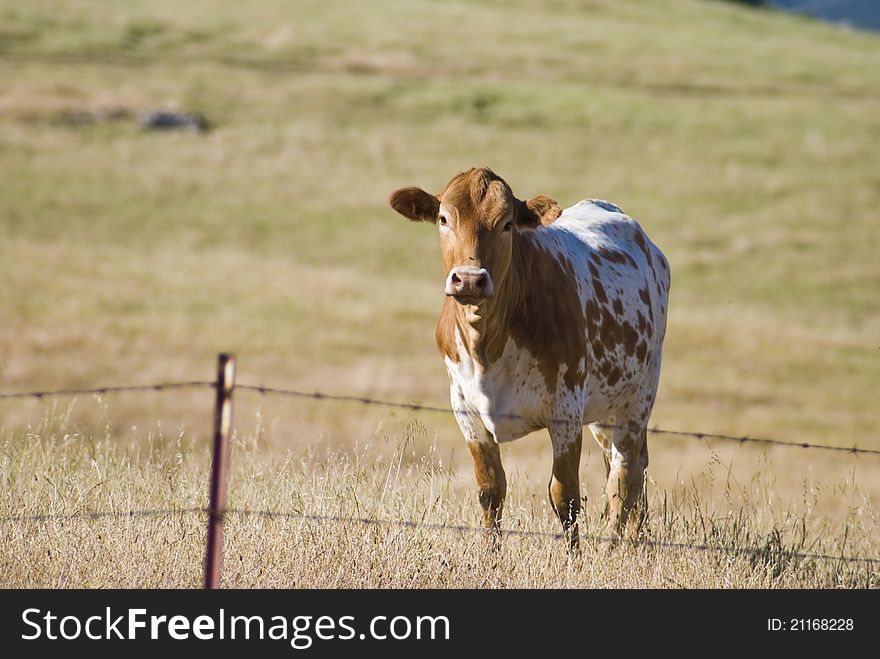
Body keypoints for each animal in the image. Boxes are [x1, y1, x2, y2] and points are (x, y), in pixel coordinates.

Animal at [388, 168, 672, 548]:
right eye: (444, 219)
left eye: (506, 223)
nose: (470, 280)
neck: (487, 345)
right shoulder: (464, 409)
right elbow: (490, 491)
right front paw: (489, 555)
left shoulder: (566, 410)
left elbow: (565, 497)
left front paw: (575, 559)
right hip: (605, 410)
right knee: (625, 468)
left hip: (639, 394)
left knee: (625, 476)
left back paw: (614, 547)